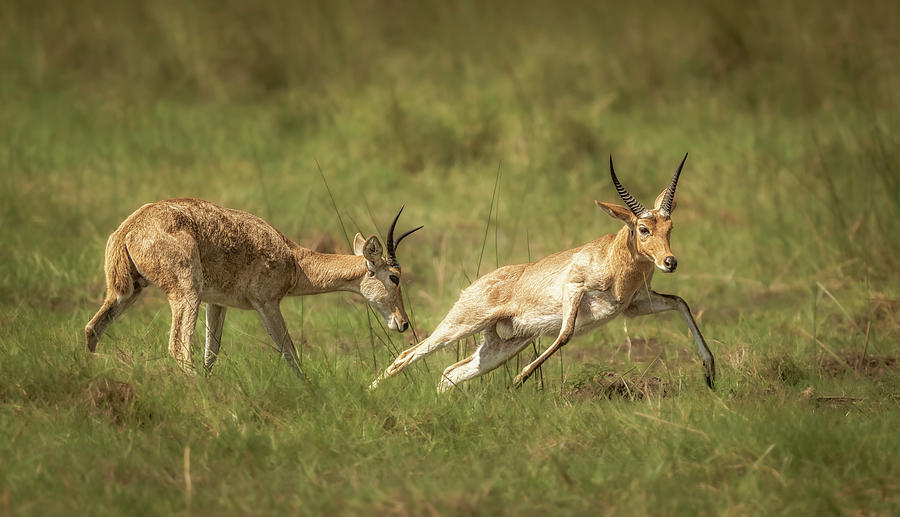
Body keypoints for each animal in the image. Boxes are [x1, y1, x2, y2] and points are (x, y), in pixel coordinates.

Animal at [84, 198, 422, 370]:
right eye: (394, 276)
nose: (403, 323)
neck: (294, 258)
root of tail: (129, 228)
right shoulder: (267, 303)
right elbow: (291, 354)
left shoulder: (216, 303)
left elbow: (211, 356)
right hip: (185, 293)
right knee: (179, 348)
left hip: (125, 293)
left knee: (92, 329)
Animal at [370, 154, 712, 392]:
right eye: (642, 228)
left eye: (669, 228)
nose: (670, 262)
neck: (612, 260)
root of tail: (474, 286)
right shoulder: (574, 289)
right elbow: (565, 334)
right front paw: (520, 378)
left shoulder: (634, 306)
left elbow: (680, 301)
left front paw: (710, 372)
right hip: (461, 324)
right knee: (407, 355)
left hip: (502, 345)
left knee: (449, 374)